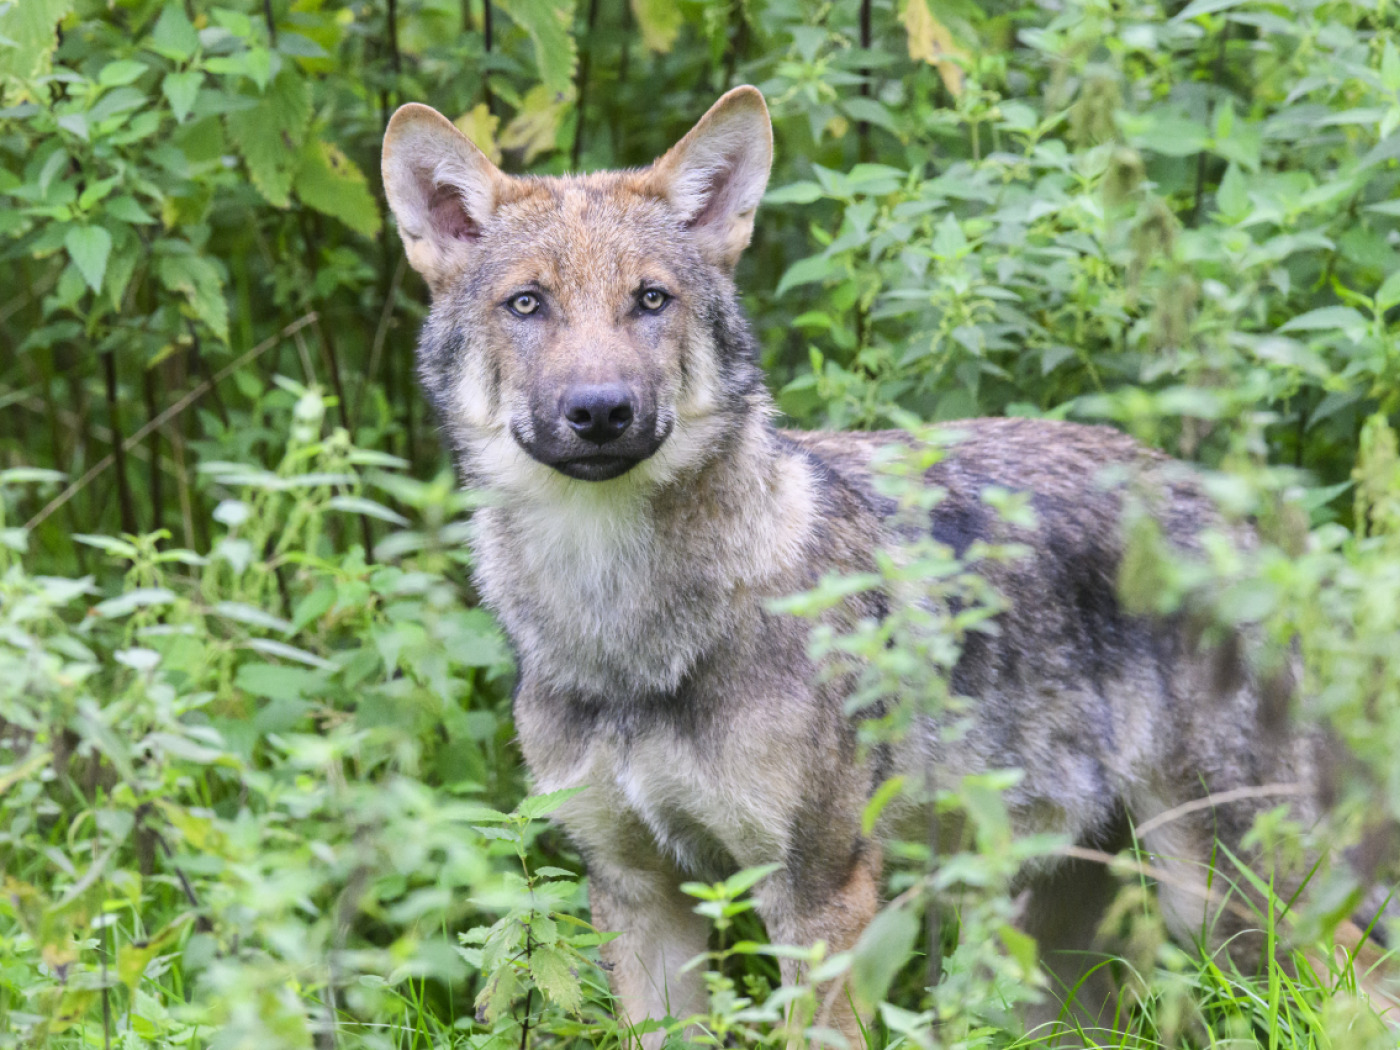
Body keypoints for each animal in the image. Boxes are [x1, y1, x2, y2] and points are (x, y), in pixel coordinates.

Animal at [381, 87, 1389, 1043]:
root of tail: (1241, 514)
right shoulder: (637, 893)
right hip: (1059, 956)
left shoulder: (820, 893)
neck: (624, 627)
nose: (600, 410)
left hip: (1233, 901)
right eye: (528, 304)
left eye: (650, 300)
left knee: (1366, 990)